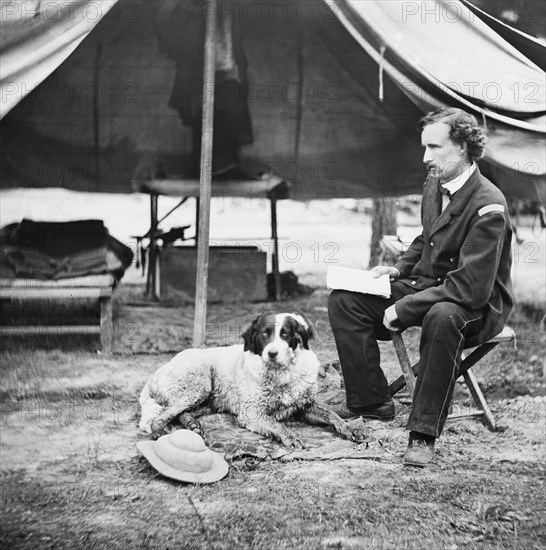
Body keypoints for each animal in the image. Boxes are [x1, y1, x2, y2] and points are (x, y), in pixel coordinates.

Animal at [138, 312, 364, 450]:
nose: (272, 353)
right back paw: (160, 433)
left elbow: (332, 414)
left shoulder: (304, 406)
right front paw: (290, 437)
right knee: (160, 417)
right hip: (198, 384)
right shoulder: (251, 413)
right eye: (265, 334)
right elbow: (276, 424)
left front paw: (350, 428)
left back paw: (193, 425)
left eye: (285, 334)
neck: (282, 374)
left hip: (209, 400)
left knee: (180, 413)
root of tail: (157, 372)